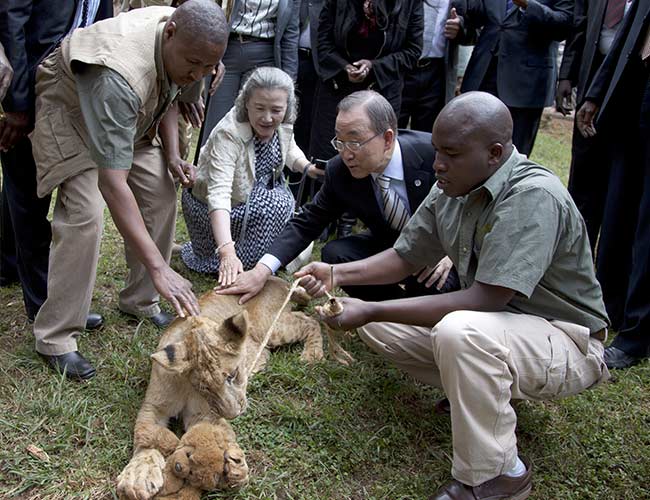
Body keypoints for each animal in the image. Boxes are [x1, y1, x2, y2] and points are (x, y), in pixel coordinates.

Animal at [116, 277, 326, 500]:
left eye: (232, 375)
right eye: (205, 387)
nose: (234, 414)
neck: (186, 386)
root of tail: (277, 280)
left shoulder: (203, 414)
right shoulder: (154, 406)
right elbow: (147, 434)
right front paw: (138, 476)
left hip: (273, 328)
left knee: (309, 320)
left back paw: (312, 355)